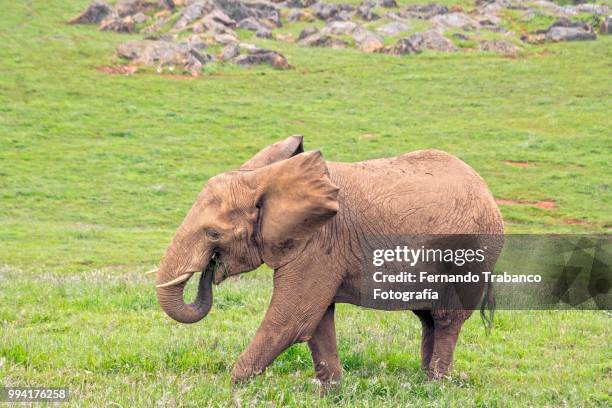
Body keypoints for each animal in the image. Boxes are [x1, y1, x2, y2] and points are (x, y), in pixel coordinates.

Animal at [153, 136, 502, 386]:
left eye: (213, 233)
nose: (211, 269)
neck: (264, 180)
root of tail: (486, 189)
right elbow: (318, 321)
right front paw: (332, 391)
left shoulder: (318, 243)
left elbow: (291, 319)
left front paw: (232, 389)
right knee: (427, 318)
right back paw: (423, 380)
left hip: (471, 254)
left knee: (445, 319)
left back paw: (434, 386)